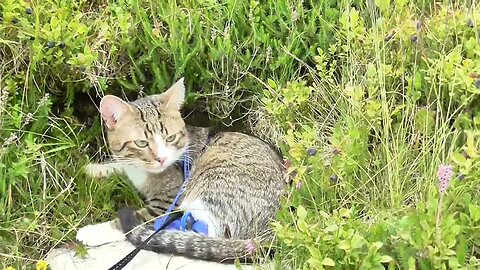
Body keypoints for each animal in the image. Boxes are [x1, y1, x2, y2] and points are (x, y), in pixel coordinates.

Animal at [76, 78, 286, 264]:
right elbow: (118, 164)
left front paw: (94, 231)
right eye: (142, 143)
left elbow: (138, 218)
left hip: (211, 187)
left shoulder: (166, 202)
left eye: (170, 138)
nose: (162, 159)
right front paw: (95, 169)